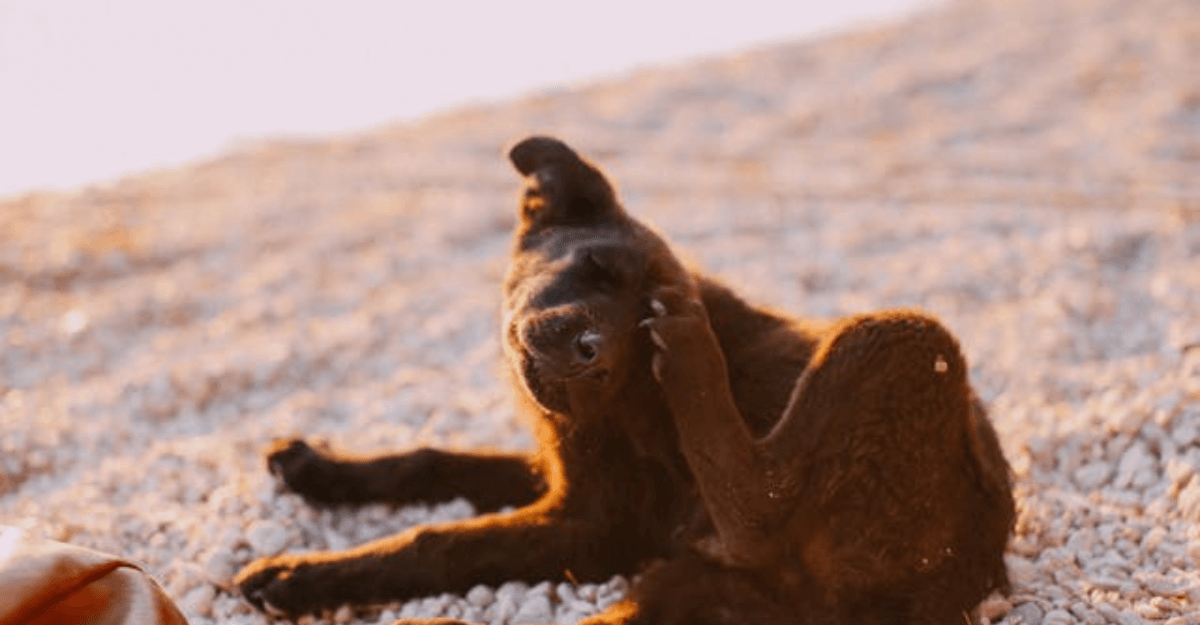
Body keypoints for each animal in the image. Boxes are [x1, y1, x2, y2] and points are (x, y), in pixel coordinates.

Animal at [231, 137, 1012, 623]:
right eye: (596, 270)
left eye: (640, 324)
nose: (589, 355)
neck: (620, 401)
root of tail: (963, 578)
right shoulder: (564, 477)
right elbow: (435, 459)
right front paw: (318, 469)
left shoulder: (596, 524)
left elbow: (443, 541)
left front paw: (299, 575)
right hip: (704, 587)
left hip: (902, 339)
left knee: (757, 509)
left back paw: (694, 358)